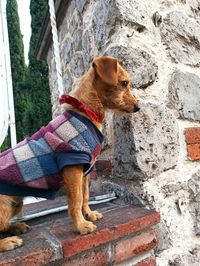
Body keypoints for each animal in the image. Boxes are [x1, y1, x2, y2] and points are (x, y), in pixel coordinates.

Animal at [0, 55, 139, 251]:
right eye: (124, 83)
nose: (138, 107)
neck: (86, 111)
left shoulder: (85, 171)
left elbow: (85, 196)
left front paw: (89, 214)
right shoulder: (72, 166)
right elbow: (76, 200)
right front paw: (81, 226)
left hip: (15, 203)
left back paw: (16, 227)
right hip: (4, 205)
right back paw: (7, 241)